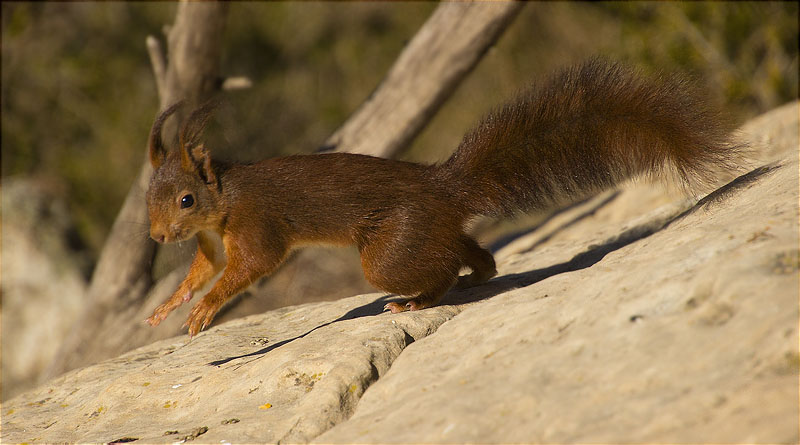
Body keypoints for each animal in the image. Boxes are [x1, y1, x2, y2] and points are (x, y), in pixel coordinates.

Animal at [142, 59, 736, 336]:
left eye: (187, 199)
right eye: (150, 198)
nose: (158, 236)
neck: (225, 199)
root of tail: (444, 185)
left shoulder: (257, 225)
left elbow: (250, 268)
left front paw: (204, 311)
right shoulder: (212, 242)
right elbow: (203, 269)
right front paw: (169, 305)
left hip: (392, 248)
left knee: (440, 266)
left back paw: (415, 301)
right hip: (429, 230)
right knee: (473, 252)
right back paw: (479, 274)